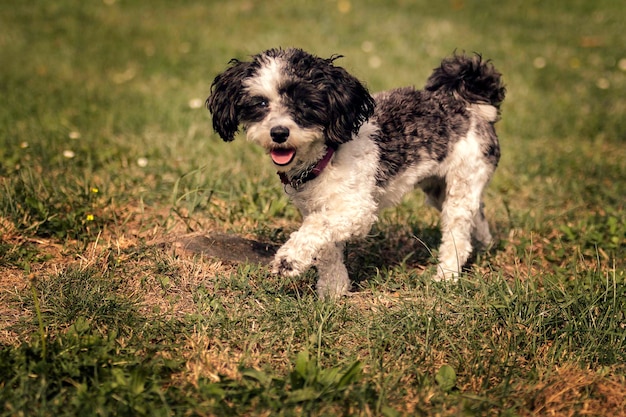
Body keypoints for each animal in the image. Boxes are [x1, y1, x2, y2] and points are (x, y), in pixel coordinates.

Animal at [205, 47, 502, 298]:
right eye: (261, 104)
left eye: (304, 104)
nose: (279, 133)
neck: (327, 156)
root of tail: (471, 106)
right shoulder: (313, 207)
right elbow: (326, 247)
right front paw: (333, 292)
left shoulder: (357, 209)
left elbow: (317, 227)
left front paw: (289, 260)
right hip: (439, 189)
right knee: (478, 212)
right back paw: (485, 243)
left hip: (463, 182)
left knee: (457, 234)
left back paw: (447, 275)